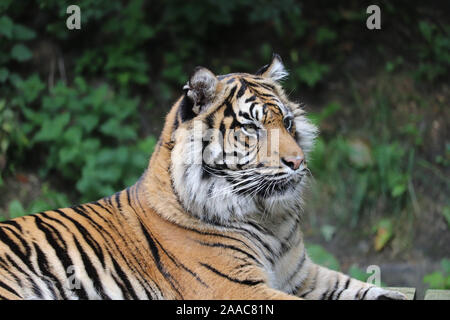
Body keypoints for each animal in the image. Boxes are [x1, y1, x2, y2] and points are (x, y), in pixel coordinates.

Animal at [0, 53, 408, 302]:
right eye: (251, 128)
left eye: (288, 123)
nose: (298, 161)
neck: (270, 220)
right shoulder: (239, 289)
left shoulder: (304, 275)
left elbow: (378, 291)